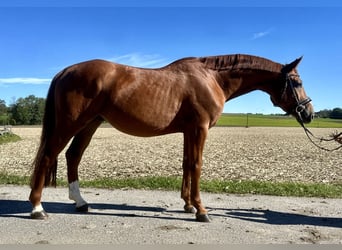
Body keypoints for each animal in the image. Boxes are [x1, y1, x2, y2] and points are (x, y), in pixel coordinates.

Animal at [28, 53, 312, 222]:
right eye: (297, 83)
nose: (308, 113)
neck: (211, 78)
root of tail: (66, 71)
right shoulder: (200, 128)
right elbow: (196, 165)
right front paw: (201, 210)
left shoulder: (189, 131)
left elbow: (186, 164)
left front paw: (187, 204)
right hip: (70, 124)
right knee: (48, 156)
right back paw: (37, 208)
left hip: (90, 124)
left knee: (72, 155)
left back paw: (80, 202)